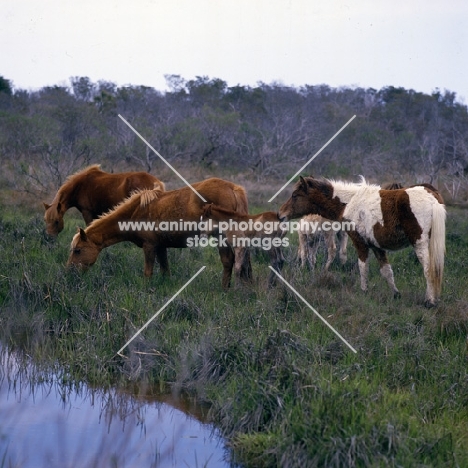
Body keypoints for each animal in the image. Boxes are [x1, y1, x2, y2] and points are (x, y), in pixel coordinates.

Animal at [66, 178, 252, 288]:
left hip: (222, 238)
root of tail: (232, 188)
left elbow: (148, 272)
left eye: (78, 250)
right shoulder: (161, 246)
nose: (69, 272)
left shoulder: (149, 246)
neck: (135, 212)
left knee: (228, 261)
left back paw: (224, 289)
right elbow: (165, 269)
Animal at [278, 176, 446, 308]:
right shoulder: (376, 246)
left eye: (295, 195)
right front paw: (395, 294)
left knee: (429, 269)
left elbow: (362, 267)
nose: (280, 214)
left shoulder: (360, 242)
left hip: (420, 244)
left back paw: (430, 301)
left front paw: (364, 291)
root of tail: (432, 197)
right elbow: (387, 271)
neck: (348, 203)